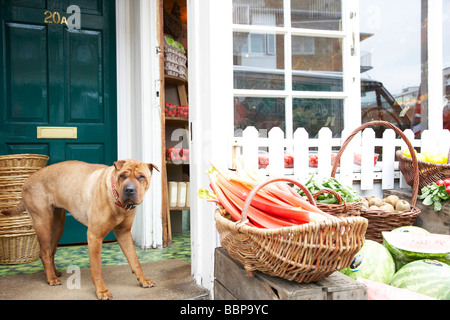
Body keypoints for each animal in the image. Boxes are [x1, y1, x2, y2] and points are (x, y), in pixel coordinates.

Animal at [0, 160, 159, 300]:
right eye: (122, 176)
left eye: (141, 177)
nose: (129, 190)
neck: (115, 197)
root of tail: (27, 180)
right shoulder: (94, 236)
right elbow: (97, 269)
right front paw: (101, 291)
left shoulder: (124, 234)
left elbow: (135, 260)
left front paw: (143, 279)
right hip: (43, 222)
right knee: (44, 253)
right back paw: (51, 278)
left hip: (57, 225)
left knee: (51, 251)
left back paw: (54, 272)